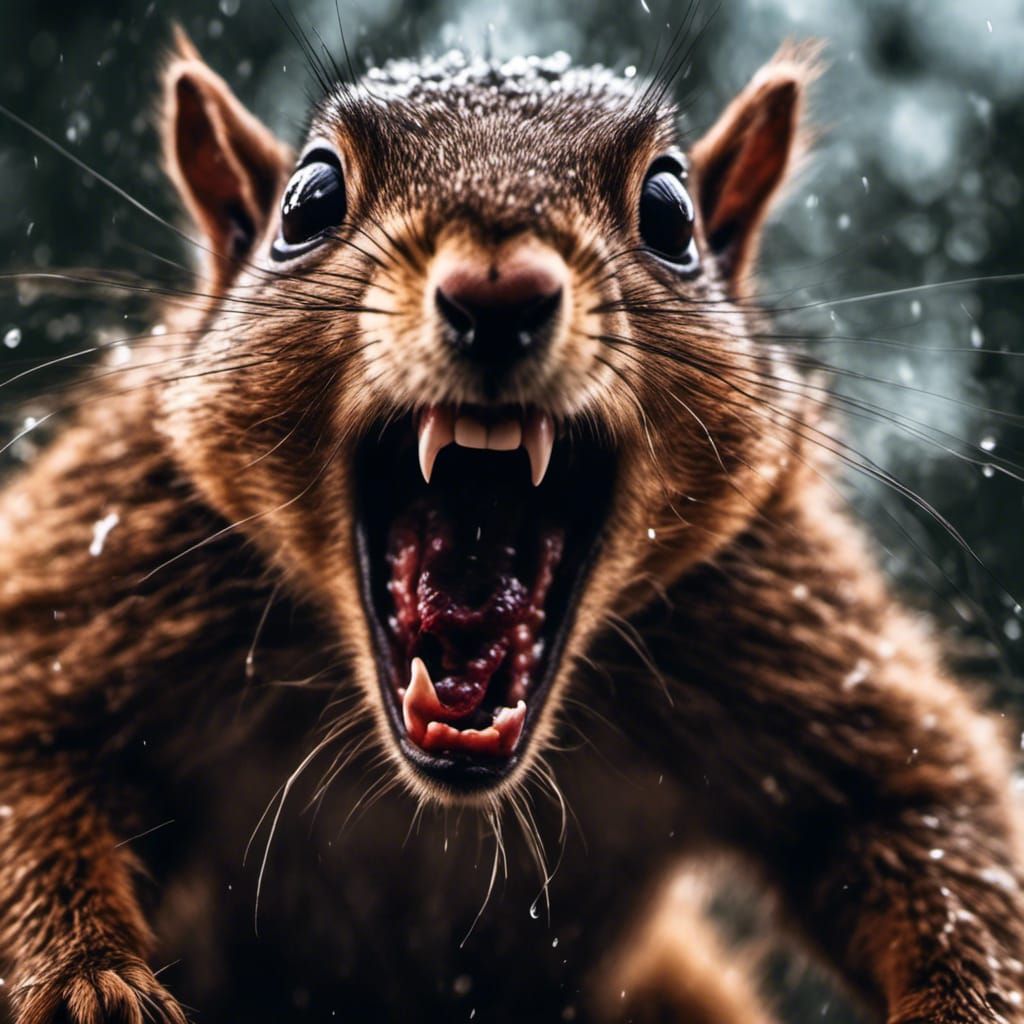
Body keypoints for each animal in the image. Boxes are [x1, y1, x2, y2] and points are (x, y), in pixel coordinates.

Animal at [0, 25, 1022, 1024]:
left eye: (671, 215)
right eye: (309, 200)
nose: (499, 291)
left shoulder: (777, 611)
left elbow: (920, 803)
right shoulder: (119, 548)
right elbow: (33, 756)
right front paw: (89, 985)